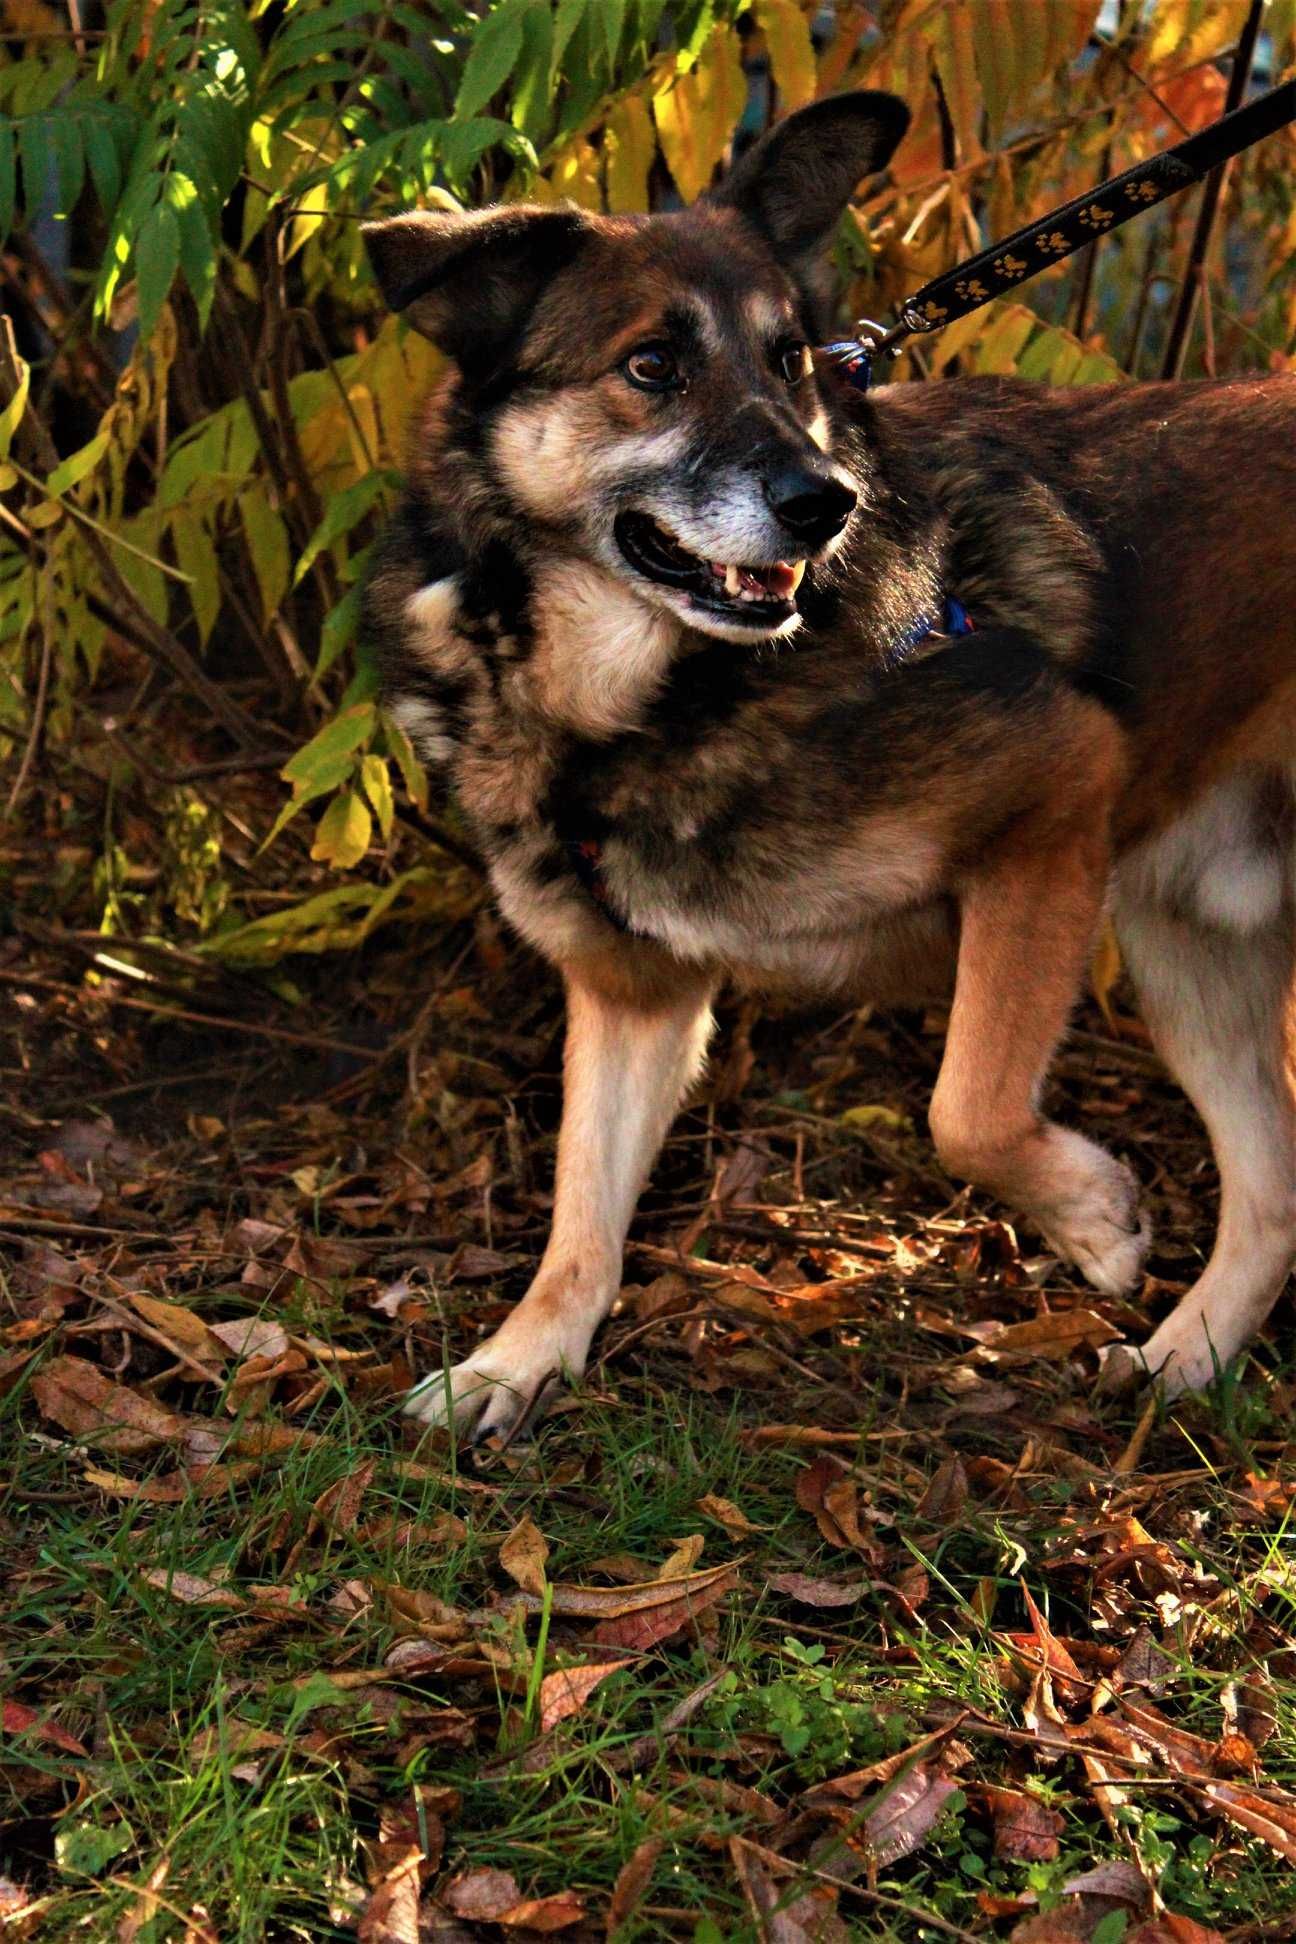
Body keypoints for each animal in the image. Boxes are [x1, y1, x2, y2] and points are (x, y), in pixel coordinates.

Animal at [359, 91, 1296, 1438]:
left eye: (791, 360)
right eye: (652, 366)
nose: (827, 503)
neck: (637, 708)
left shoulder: (1054, 802)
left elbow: (967, 1109)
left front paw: (1093, 1216)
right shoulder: (635, 995)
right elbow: (581, 1215)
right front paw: (521, 1358)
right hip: (1191, 944)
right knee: (1276, 1193)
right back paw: (1192, 1355)